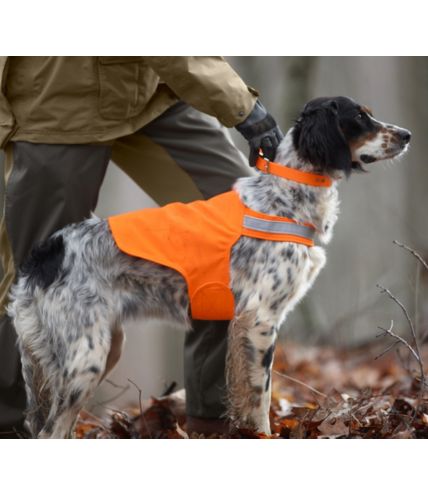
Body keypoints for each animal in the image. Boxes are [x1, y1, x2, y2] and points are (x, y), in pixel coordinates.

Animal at [7, 96, 412, 436]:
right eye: (359, 117)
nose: (407, 134)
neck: (285, 197)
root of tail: (46, 252)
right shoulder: (260, 318)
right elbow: (260, 396)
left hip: (103, 348)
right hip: (86, 358)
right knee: (50, 431)